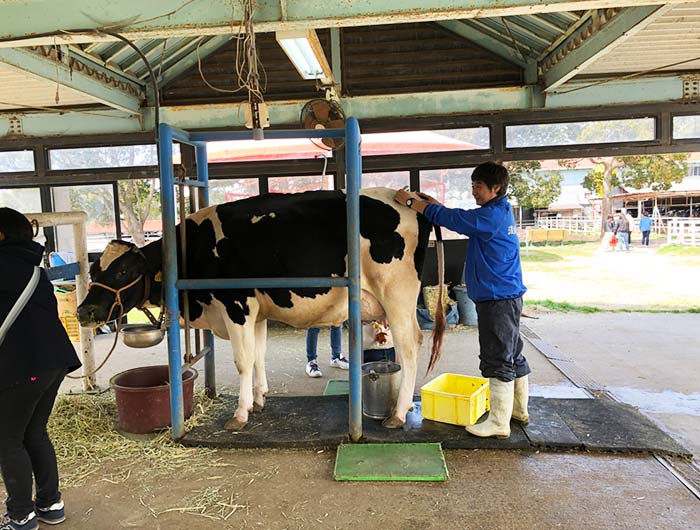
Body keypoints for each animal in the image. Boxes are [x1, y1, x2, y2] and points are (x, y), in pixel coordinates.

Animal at [78, 188, 442, 432]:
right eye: (93, 270)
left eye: (123, 271)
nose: (85, 312)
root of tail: (407, 200)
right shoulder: (257, 312)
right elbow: (257, 356)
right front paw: (259, 399)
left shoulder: (237, 306)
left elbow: (242, 361)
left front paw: (240, 414)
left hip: (397, 295)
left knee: (410, 348)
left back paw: (397, 414)